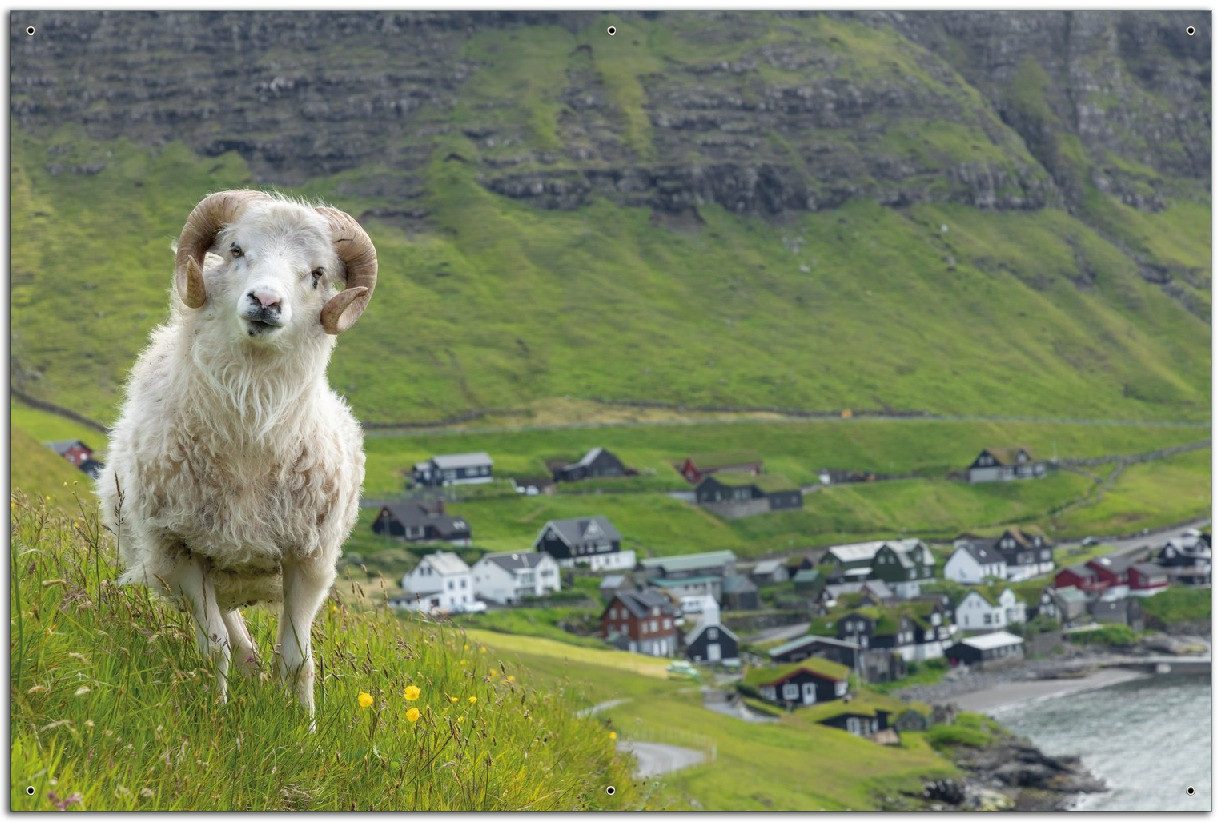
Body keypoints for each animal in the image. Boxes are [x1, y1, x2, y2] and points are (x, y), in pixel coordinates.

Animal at [97, 190, 377, 721]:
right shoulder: (180, 552)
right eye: (236, 250)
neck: (250, 438)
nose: (265, 302)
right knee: (232, 638)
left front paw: (304, 729)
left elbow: (297, 659)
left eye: (317, 273)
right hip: (186, 570)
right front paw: (215, 715)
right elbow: (213, 648)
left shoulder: (309, 560)